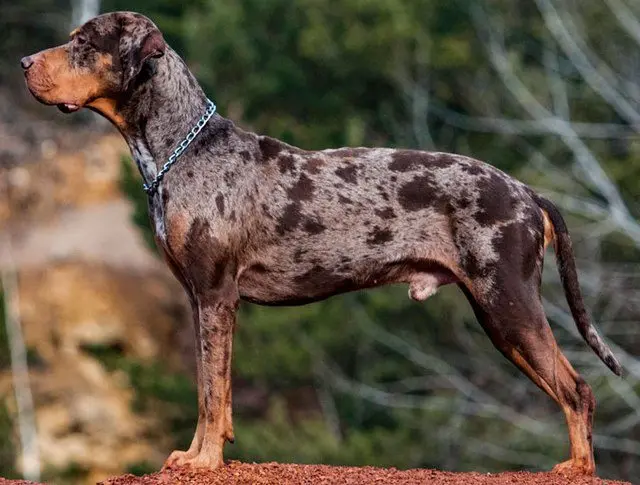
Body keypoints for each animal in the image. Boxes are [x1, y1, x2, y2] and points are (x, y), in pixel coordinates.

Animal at [21, 10, 620, 476]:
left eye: (82, 41)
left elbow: (212, 393)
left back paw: (577, 468)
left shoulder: (216, 297)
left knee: (579, 391)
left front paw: (205, 461)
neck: (181, 149)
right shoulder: (199, 301)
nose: (24, 63)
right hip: (501, 316)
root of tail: (527, 192)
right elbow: (208, 390)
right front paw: (194, 456)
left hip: (507, 305)